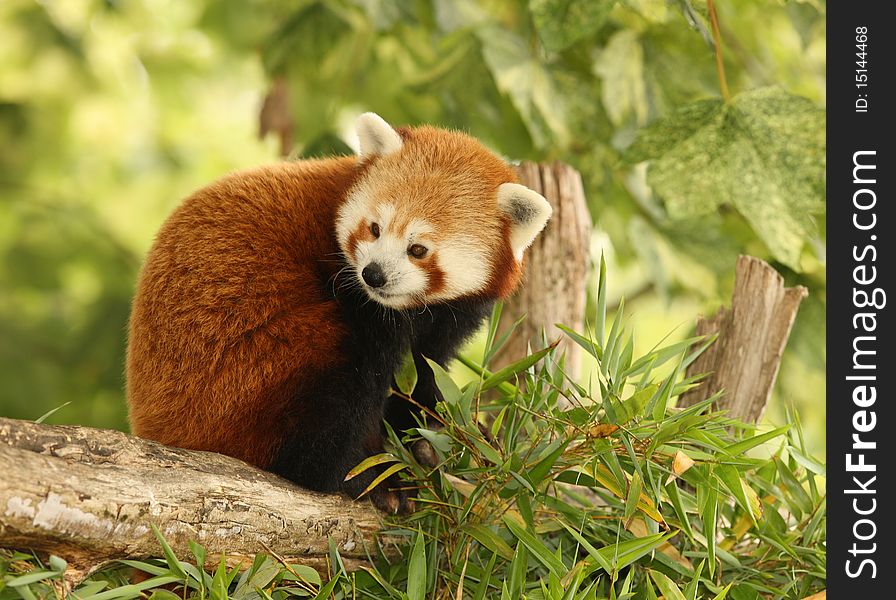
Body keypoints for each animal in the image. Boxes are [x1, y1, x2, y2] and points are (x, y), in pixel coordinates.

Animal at [123, 115, 548, 512]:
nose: (373, 274)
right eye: (375, 229)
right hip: (248, 371)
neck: (405, 310)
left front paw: (445, 434)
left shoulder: (447, 318)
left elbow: (424, 378)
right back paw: (366, 478)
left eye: (418, 249)